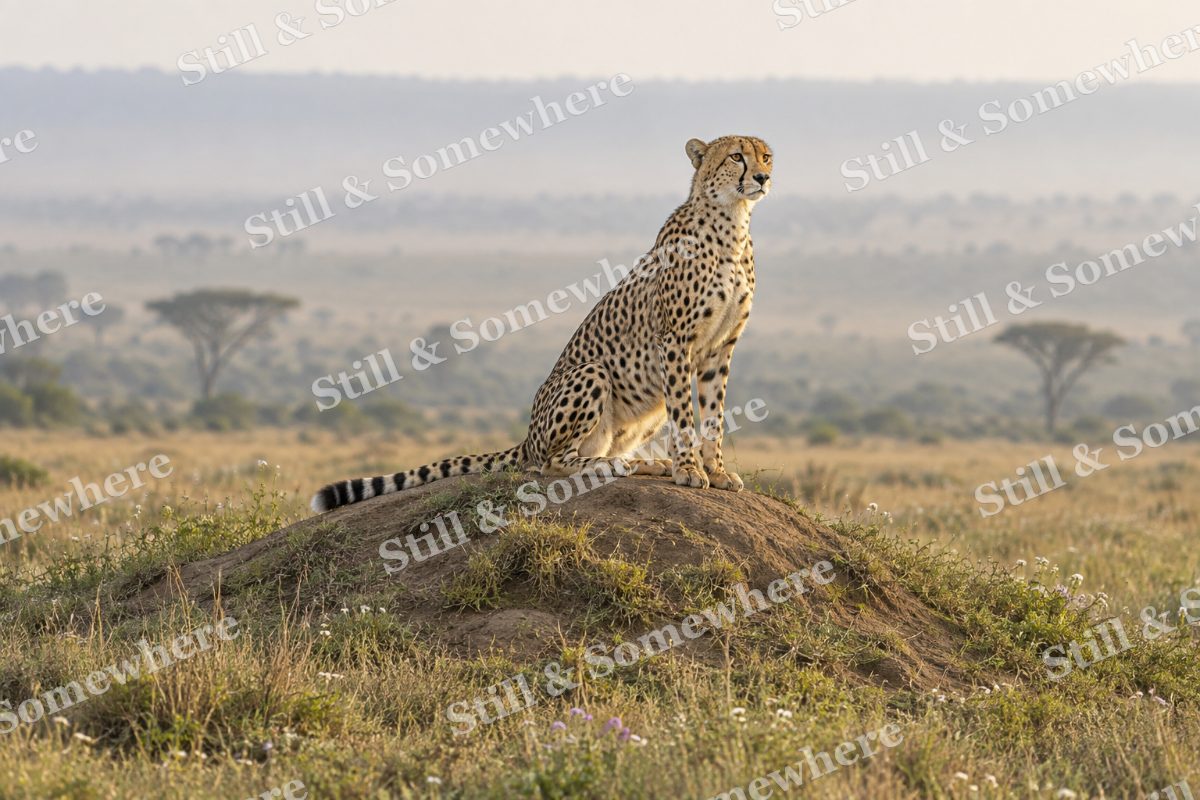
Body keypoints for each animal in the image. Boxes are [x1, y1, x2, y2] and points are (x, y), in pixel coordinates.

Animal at [311, 134, 773, 513]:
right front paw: (689, 469)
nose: (764, 177)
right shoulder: (674, 341)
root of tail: (527, 437)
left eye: (766, 155)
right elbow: (685, 414)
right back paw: (609, 465)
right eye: (736, 156)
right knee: (551, 463)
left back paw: (645, 464)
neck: (732, 222)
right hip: (591, 372)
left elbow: (713, 414)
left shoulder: (719, 347)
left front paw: (715, 471)